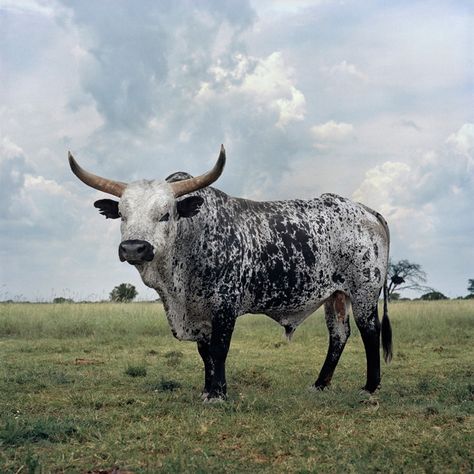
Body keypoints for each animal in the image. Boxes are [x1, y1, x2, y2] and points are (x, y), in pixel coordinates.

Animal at [67, 145, 392, 404]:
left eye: (165, 214)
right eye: (122, 215)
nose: (134, 248)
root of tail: (368, 211)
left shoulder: (224, 306)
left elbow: (219, 348)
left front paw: (217, 394)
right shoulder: (197, 311)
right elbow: (205, 352)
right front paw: (207, 388)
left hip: (364, 290)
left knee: (369, 331)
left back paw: (370, 387)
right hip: (335, 295)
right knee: (339, 334)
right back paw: (320, 384)